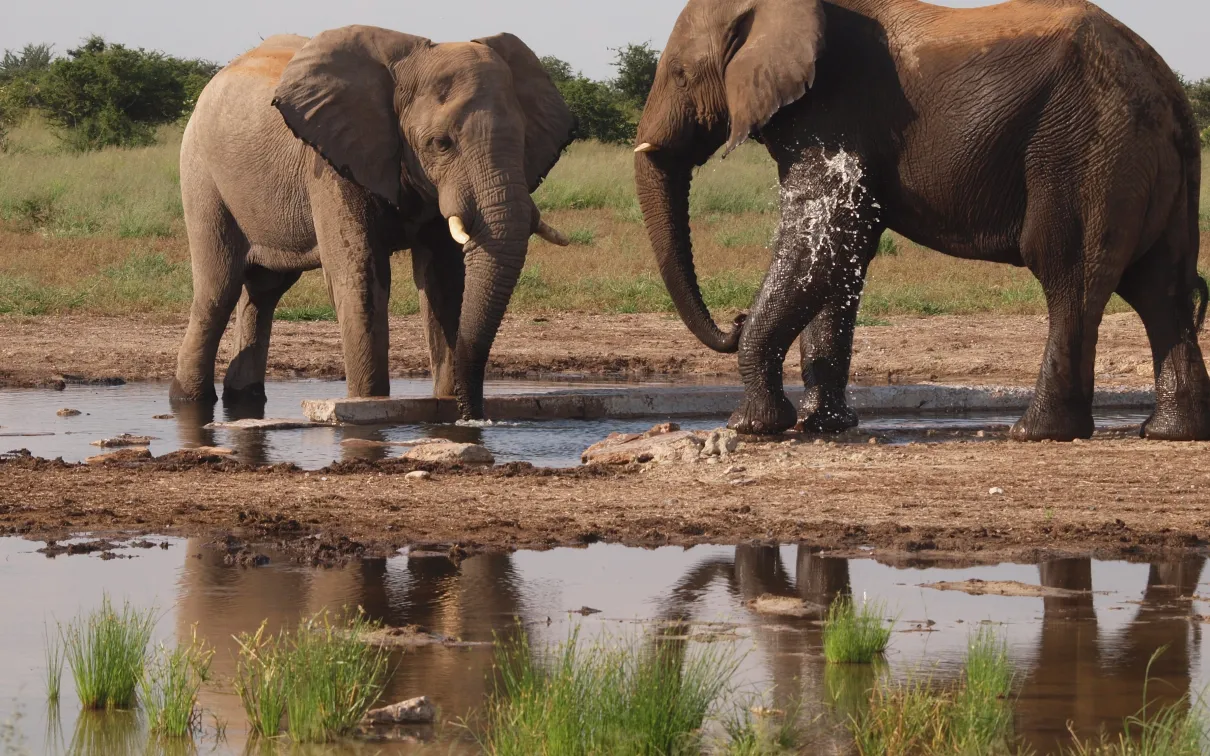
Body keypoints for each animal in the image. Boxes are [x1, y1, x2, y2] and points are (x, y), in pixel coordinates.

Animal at [171, 27, 574, 419]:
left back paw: (243, 400)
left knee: (265, 290)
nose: (474, 415)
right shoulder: (333, 167)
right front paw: (368, 402)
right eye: (441, 144)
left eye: (523, 140)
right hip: (200, 173)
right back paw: (189, 400)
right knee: (218, 290)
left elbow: (443, 280)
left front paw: (447, 405)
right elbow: (361, 277)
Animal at [634, 0, 1210, 441]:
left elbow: (822, 240)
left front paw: (752, 426)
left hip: (1086, 152)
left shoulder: (834, 114)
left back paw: (1036, 432)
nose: (732, 321)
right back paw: (1169, 433)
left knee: (1069, 278)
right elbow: (841, 254)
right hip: (1148, 162)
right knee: (1160, 290)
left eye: (681, 75)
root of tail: (1167, 87)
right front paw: (825, 427)